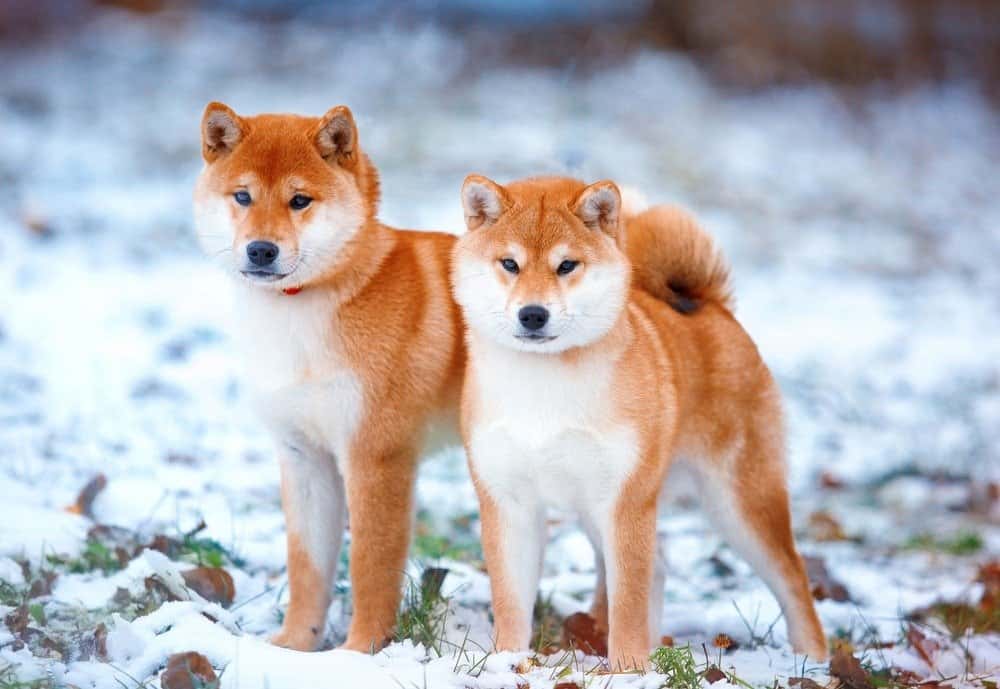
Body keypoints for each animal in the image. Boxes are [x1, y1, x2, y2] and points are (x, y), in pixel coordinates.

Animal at [192, 102, 464, 652]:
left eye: (300, 200)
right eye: (243, 196)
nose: (261, 250)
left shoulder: (376, 458)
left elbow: (369, 569)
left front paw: (359, 654)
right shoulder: (304, 457)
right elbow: (308, 569)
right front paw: (296, 646)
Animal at [454, 175, 828, 668]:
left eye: (567, 265)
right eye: (510, 263)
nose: (533, 314)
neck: (545, 387)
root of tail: (710, 305)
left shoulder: (626, 501)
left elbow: (627, 601)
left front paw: (629, 669)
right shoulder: (509, 502)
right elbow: (511, 602)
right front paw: (506, 662)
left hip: (739, 505)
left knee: (793, 576)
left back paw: (814, 660)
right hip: (599, 511)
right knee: (661, 567)